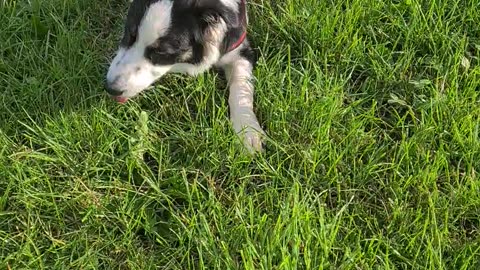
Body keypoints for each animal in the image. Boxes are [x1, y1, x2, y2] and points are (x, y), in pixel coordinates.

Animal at [105, 0, 264, 152]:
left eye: (161, 52)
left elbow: (241, 88)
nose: (110, 88)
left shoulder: (240, 49)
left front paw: (247, 131)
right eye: (129, 35)